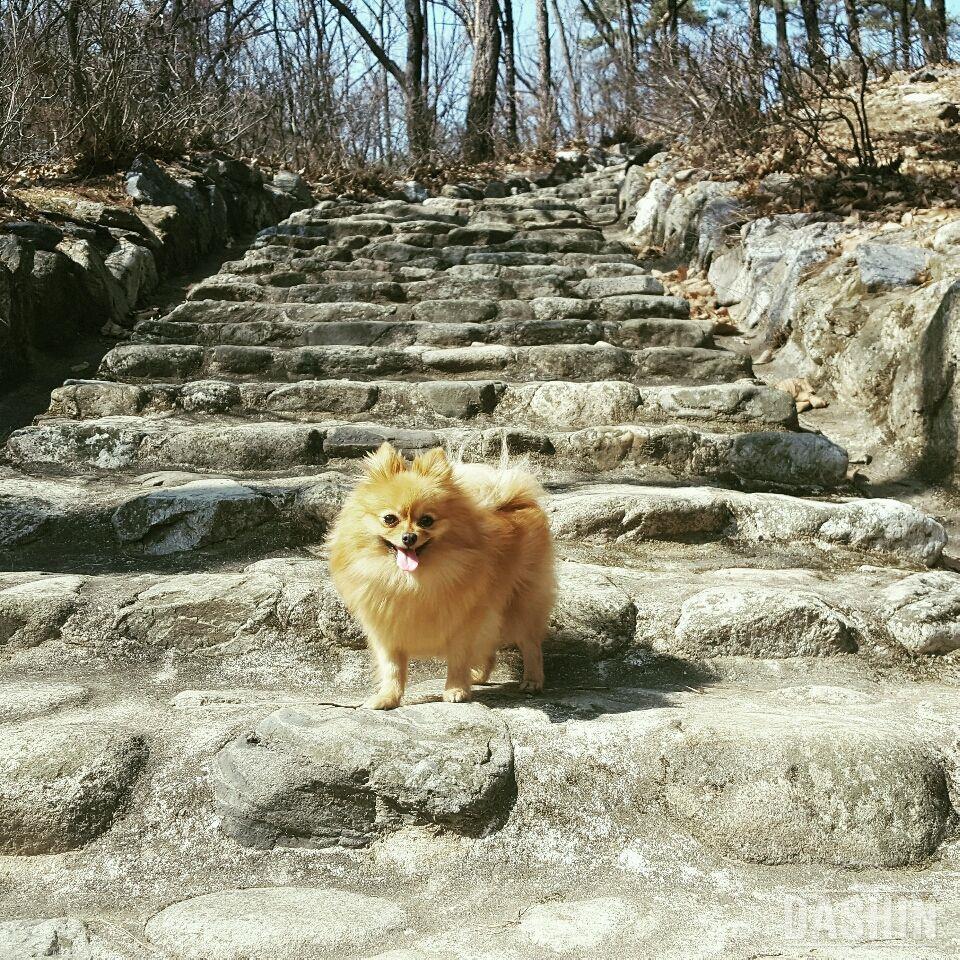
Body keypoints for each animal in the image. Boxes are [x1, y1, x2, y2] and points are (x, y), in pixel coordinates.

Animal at [328, 446, 556, 708]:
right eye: (390, 519)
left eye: (426, 520)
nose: (409, 537)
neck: (408, 582)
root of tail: (515, 499)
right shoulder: (387, 629)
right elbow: (392, 668)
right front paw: (388, 697)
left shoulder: (463, 623)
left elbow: (457, 659)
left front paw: (456, 689)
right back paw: (478, 675)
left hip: (521, 604)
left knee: (530, 644)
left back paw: (532, 680)